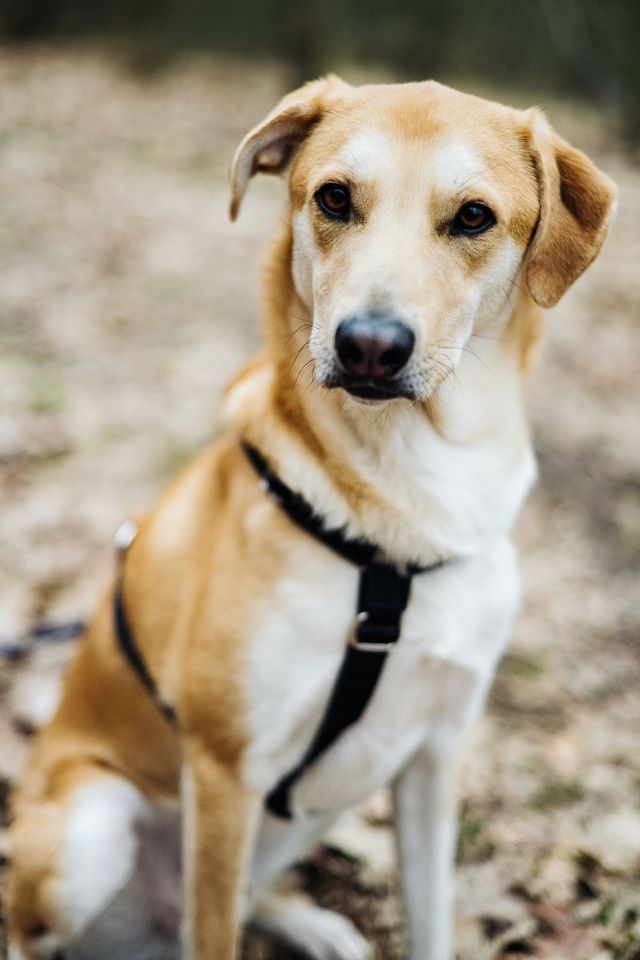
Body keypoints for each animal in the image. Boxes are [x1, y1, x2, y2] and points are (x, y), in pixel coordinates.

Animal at [6, 77, 616, 960]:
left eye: (473, 216)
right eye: (334, 197)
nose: (369, 345)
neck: (405, 508)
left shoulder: (435, 759)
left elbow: (431, 921)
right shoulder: (226, 770)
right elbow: (215, 932)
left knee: (239, 896)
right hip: (89, 830)